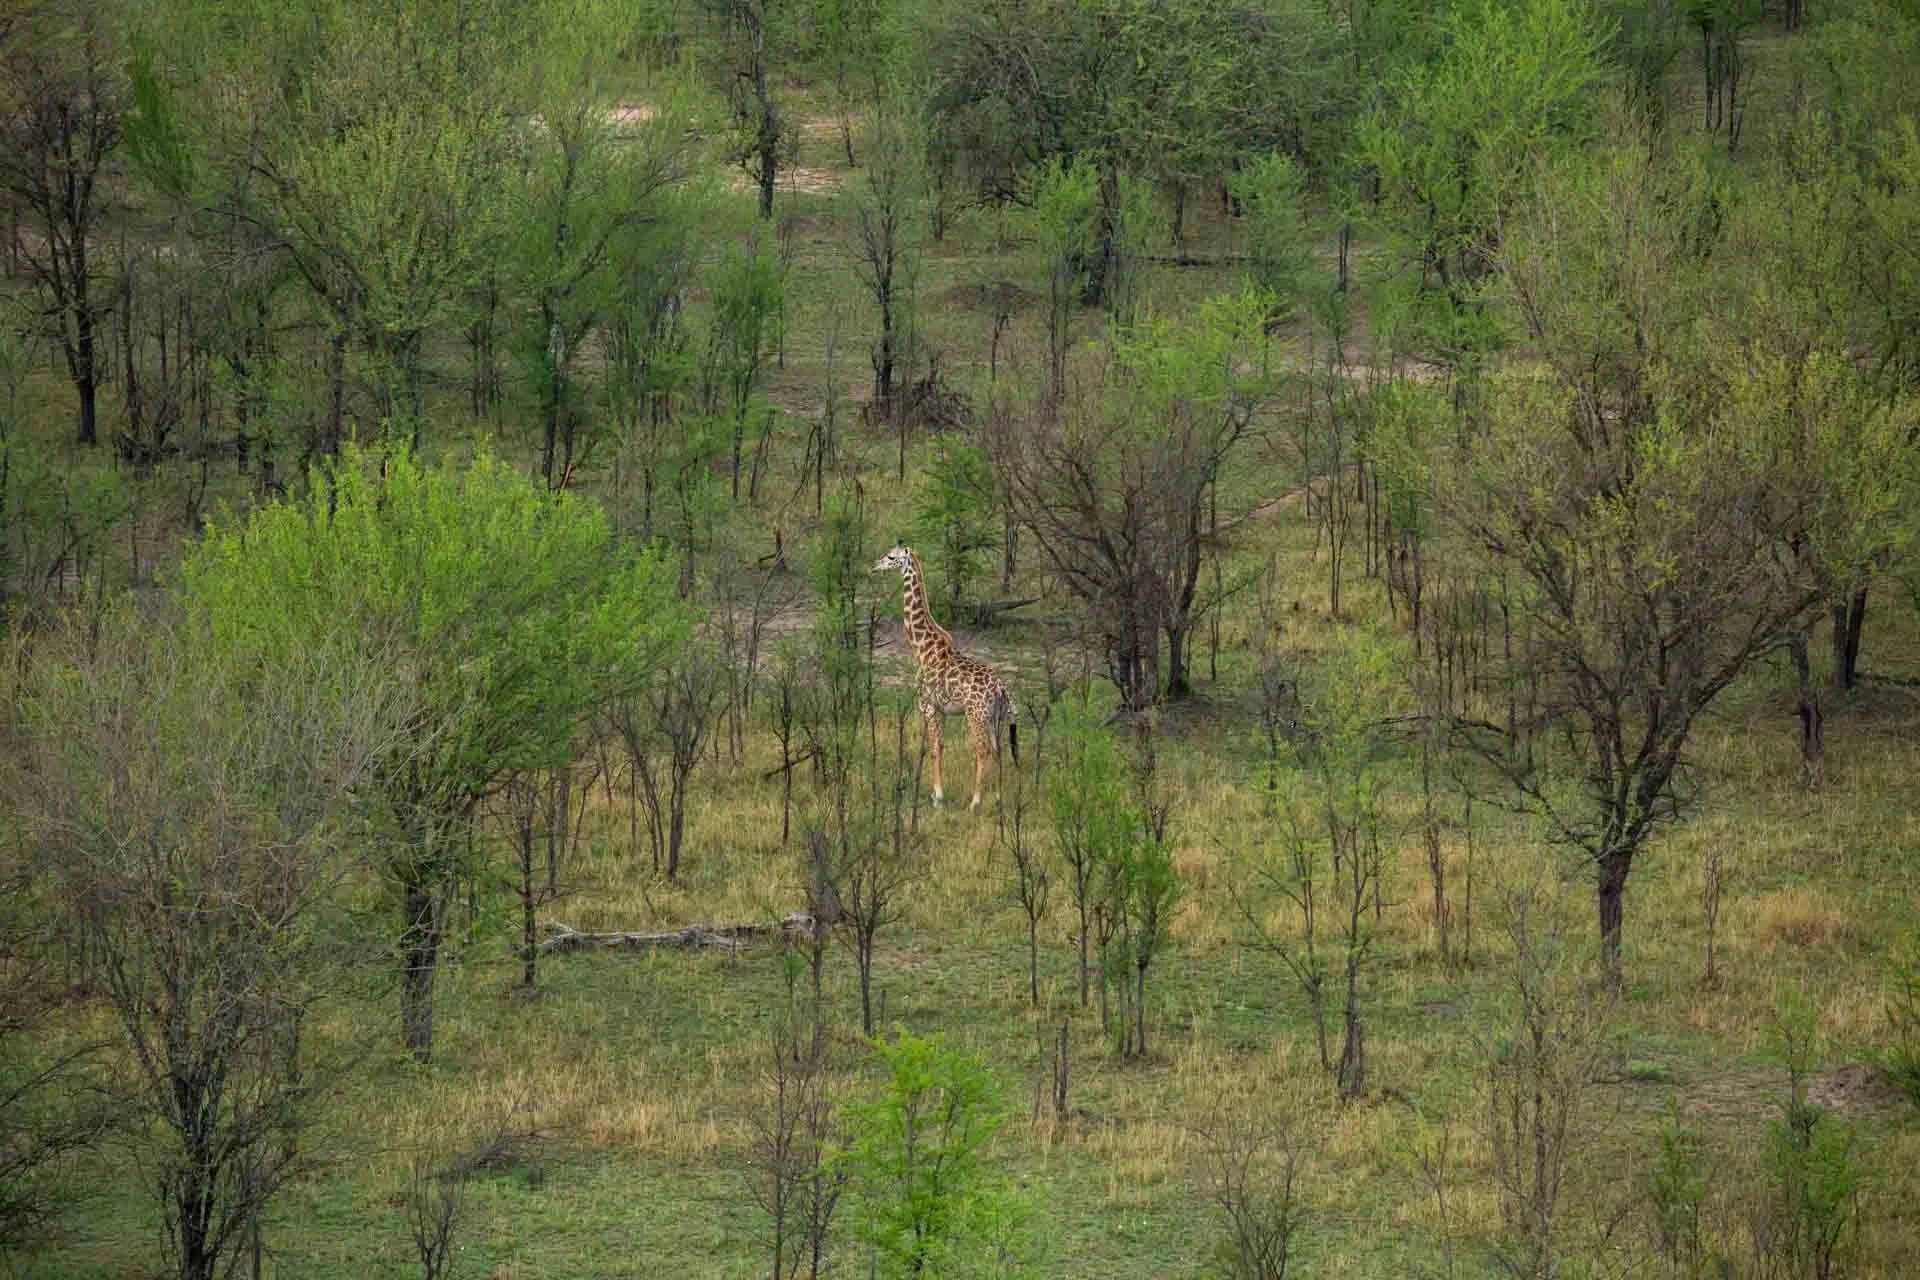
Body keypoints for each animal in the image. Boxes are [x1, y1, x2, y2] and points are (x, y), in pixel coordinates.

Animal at [871, 546, 1019, 809]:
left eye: (891, 557)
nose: (874, 565)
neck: (922, 648)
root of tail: (1001, 688)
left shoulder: (928, 705)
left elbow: (934, 748)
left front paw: (937, 796)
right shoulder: (940, 709)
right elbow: (940, 745)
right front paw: (936, 794)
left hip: (976, 715)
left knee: (982, 750)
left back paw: (975, 801)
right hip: (996, 717)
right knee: (998, 749)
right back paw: (998, 799)